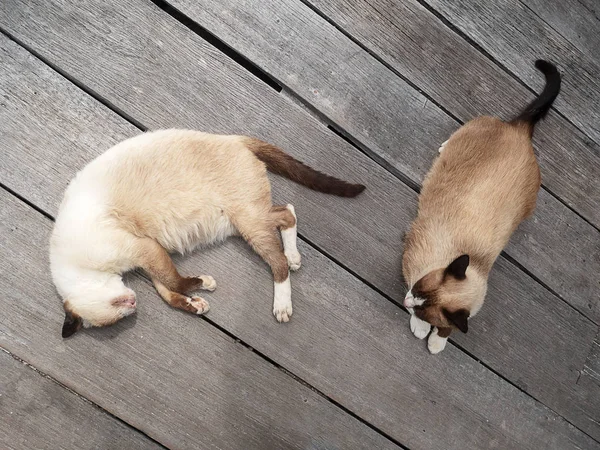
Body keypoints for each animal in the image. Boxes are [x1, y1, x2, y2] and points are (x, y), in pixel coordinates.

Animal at [49, 128, 364, 336]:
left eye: (120, 306)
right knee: (286, 211)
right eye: (120, 314)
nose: (134, 303)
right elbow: (169, 292)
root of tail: (235, 138)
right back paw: (296, 257)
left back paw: (282, 305)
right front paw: (196, 304)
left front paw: (205, 285)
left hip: (248, 221)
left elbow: (175, 282)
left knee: (279, 260)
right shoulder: (148, 257)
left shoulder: (145, 249)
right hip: (242, 221)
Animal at [400, 60, 560, 356]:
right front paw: (421, 330)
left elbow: (451, 328)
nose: (406, 302)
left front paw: (437, 339)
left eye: (421, 305)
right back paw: (444, 146)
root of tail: (519, 131)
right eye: (415, 291)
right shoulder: (411, 265)